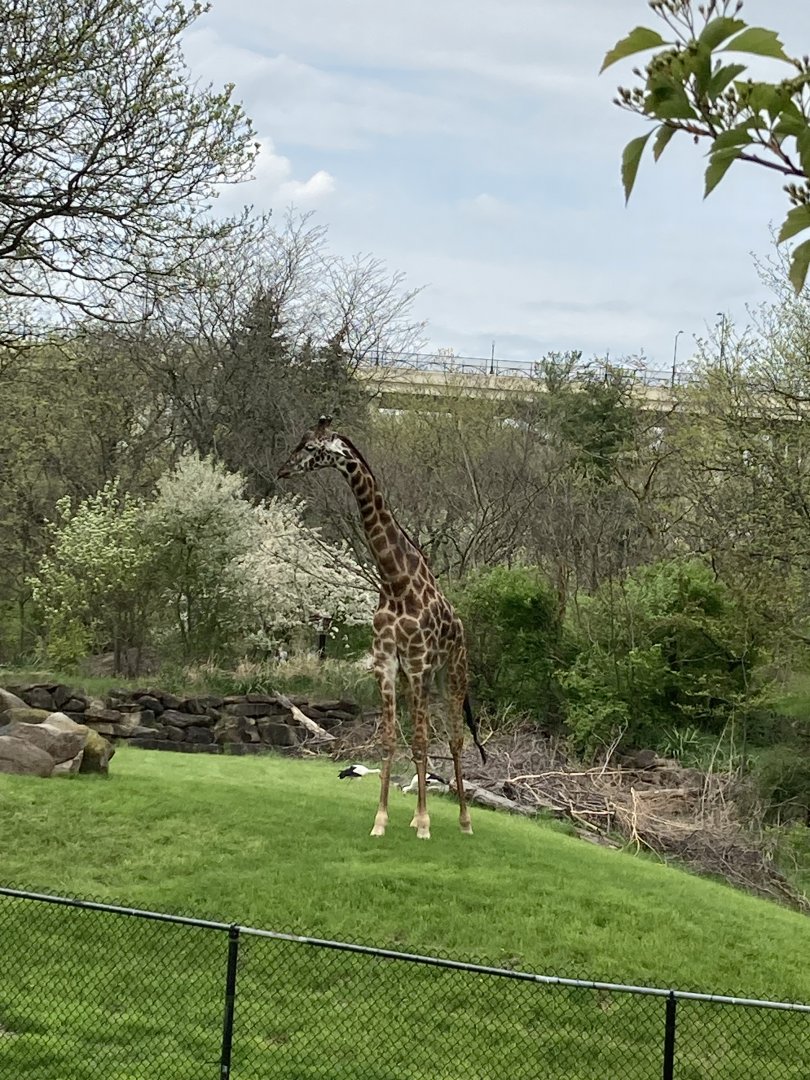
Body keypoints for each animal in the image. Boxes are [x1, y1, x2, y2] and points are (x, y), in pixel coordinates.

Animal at [277, 416, 486, 840]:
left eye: (310, 448)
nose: (282, 470)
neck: (395, 580)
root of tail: (461, 630)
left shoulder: (419, 662)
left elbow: (421, 742)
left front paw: (424, 824)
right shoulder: (388, 662)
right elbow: (391, 739)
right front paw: (383, 820)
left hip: (451, 673)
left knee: (455, 739)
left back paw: (463, 821)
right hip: (419, 678)